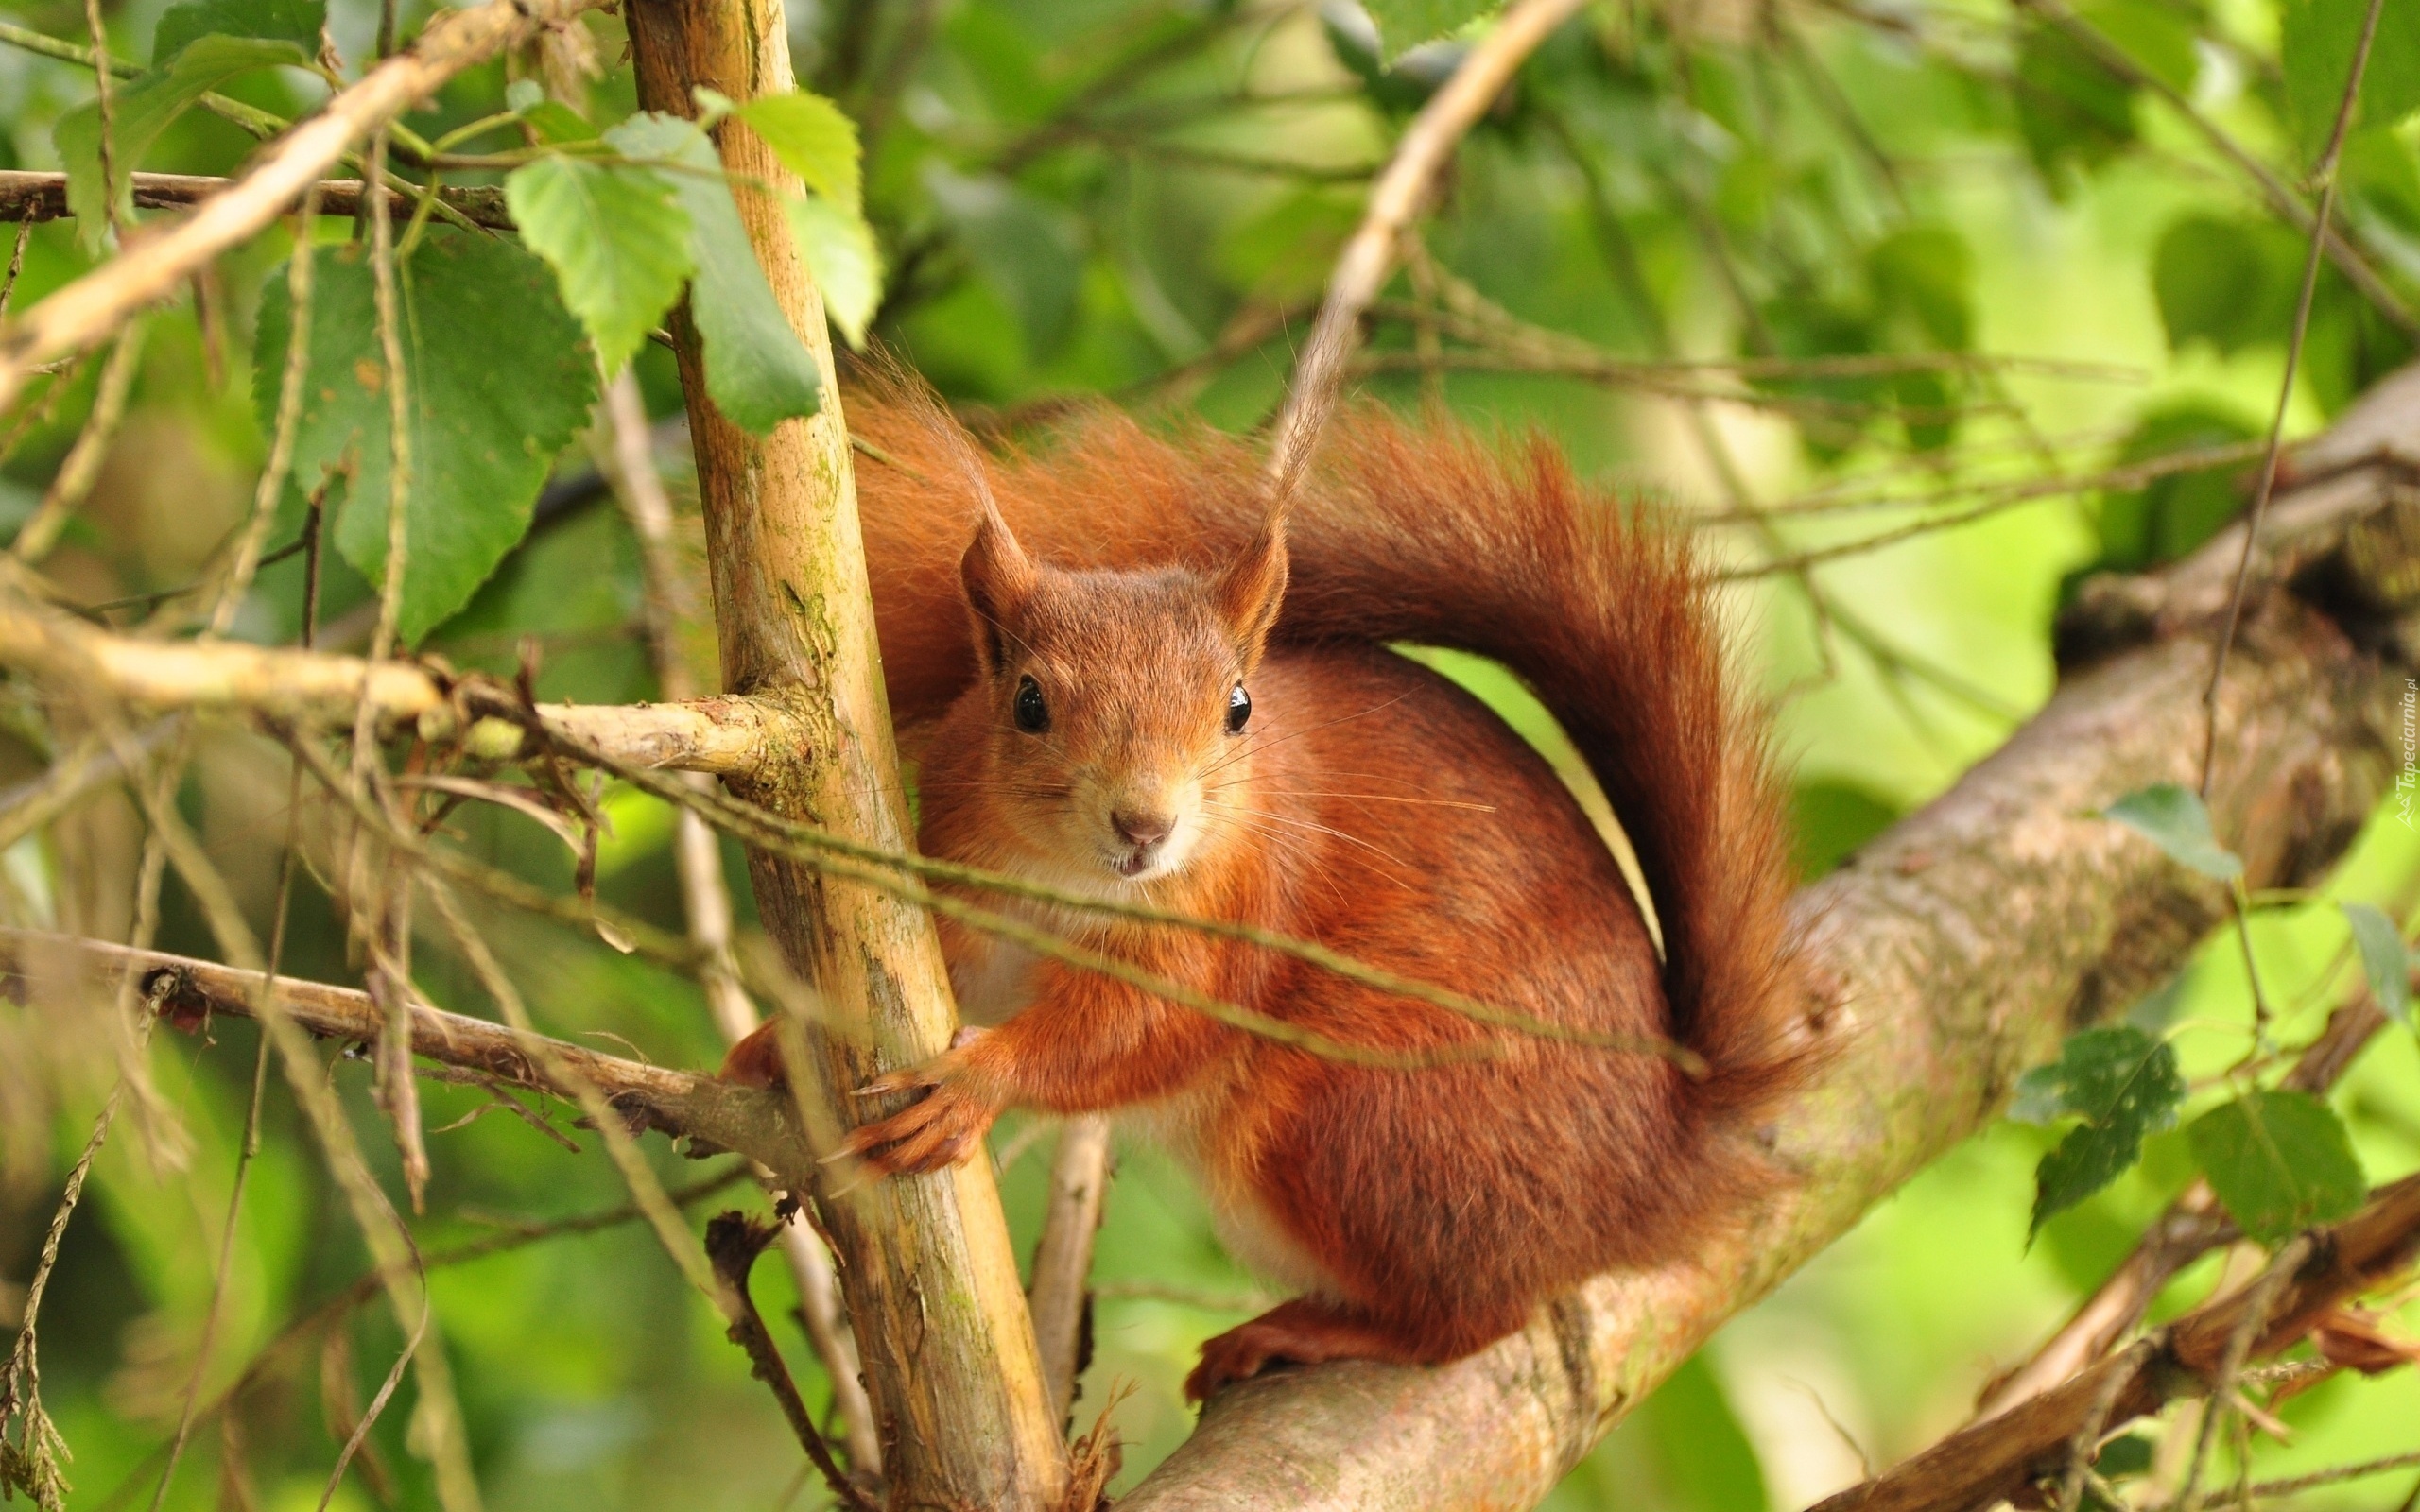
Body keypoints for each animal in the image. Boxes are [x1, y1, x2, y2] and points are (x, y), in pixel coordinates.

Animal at [726, 387, 1809, 1393]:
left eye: (1238, 707)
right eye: (1028, 702)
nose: (1144, 826)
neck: (1071, 879)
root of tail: (1653, 1173)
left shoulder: (1239, 913)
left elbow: (1144, 1028)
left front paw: (975, 1083)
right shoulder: (969, 881)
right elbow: (944, 970)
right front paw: (778, 1039)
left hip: (1358, 1124)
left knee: (1472, 1320)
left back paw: (1312, 1330)